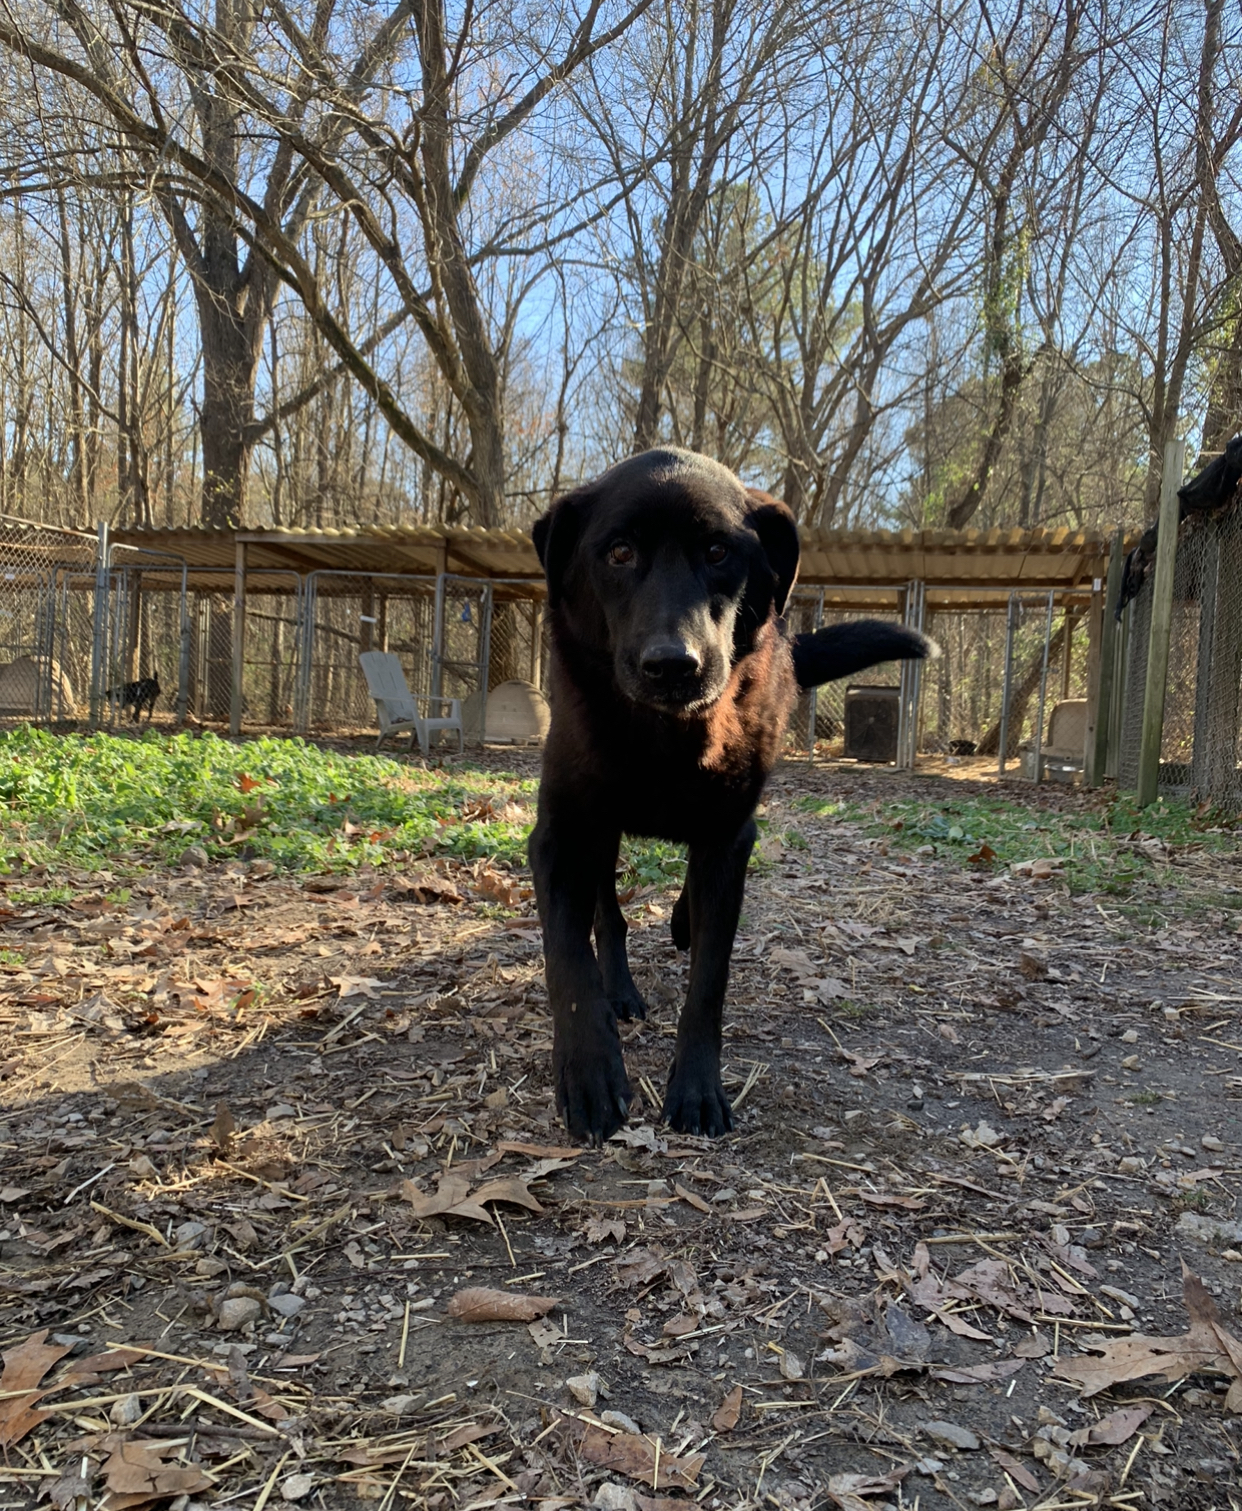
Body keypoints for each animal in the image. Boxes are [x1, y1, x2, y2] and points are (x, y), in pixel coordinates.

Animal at [528, 453, 930, 1136]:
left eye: (718, 551)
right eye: (619, 552)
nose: (673, 664)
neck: (665, 740)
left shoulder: (728, 838)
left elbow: (709, 981)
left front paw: (696, 1088)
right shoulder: (563, 832)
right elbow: (568, 959)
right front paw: (590, 1075)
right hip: (600, 832)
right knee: (607, 914)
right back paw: (622, 991)